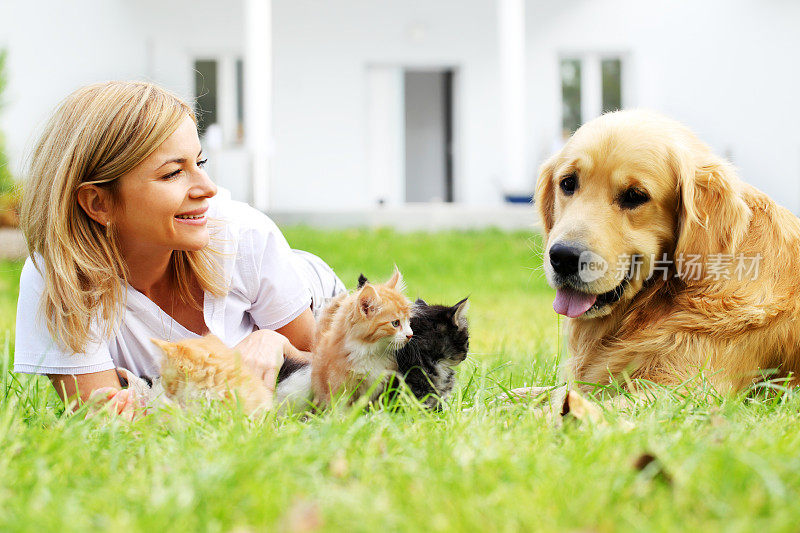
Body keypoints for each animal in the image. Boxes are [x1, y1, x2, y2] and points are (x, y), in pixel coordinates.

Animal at [310, 266, 416, 408]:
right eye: (395, 323)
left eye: (408, 321)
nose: (410, 335)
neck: (371, 351)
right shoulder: (340, 385)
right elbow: (341, 407)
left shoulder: (383, 382)